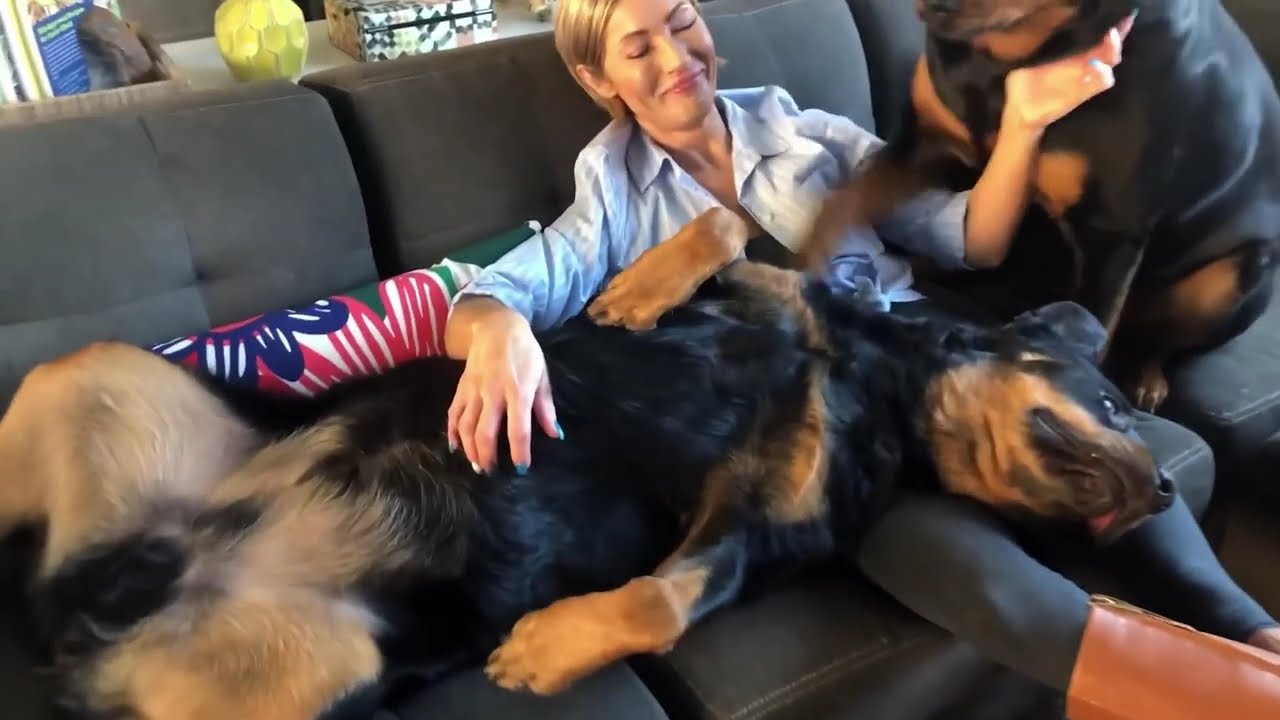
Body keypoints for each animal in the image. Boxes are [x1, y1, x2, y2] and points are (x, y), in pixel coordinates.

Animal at [0, 209, 1175, 719]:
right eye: (1113, 399)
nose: (1166, 485)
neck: (875, 370)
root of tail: (92, 611)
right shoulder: (773, 294)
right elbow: (722, 230)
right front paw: (635, 293)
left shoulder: (761, 523)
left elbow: (662, 597)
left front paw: (548, 647)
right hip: (84, 376)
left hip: (306, 677)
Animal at [795, 0, 1280, 413]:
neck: (1000, 60)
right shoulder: (920, 145)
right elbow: (847, 196)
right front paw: (816, 256)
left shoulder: (1112, 231)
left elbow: (1094, 326)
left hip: (1242, 272)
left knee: (1162, 337)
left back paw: (1147, 376)